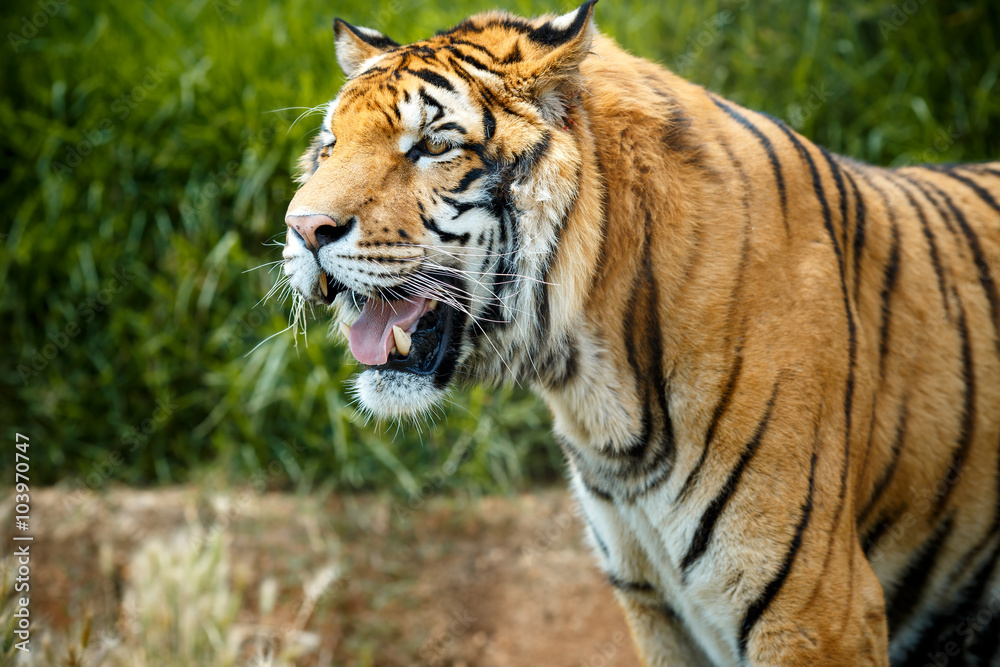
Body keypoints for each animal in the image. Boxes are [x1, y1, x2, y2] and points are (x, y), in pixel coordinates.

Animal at [280, 2, 1000, 664]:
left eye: (433, 145)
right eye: (331, 145)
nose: (303, 229)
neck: (597, 387)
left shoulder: (816, 611)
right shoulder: (654, 605)